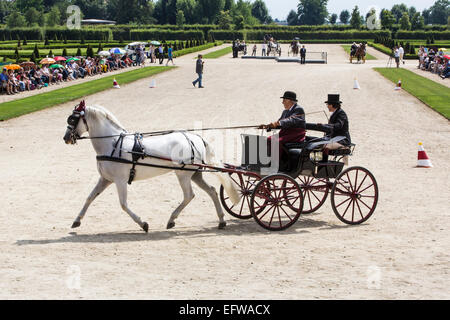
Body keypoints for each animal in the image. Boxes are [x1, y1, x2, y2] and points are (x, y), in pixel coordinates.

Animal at [63, 101, 241, 234]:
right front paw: (77, 220)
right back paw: (221, 220)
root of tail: (194, 137)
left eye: (72, 119)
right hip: (195, 173)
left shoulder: (120, 180)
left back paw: (172, 219)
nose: (66, 138)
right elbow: (90, 198)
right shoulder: (105, 179)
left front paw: (143, 224)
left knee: (189, 195)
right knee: (211, 191)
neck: (112, 143)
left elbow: (123, 204)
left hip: (183, 174)